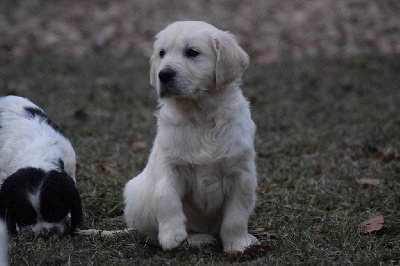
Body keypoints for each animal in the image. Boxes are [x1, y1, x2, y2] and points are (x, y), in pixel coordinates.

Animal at [123, 20, 258, 251]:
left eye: (192, 52)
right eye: (161, 53)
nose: (163, 74)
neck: (200, 115)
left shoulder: (241, 175)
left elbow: (236, 217)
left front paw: (238, 245)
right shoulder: (169, 165)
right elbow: (166, 198)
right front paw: (172, 235)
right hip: (136, 195)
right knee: (149, 232)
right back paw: (195, 239)